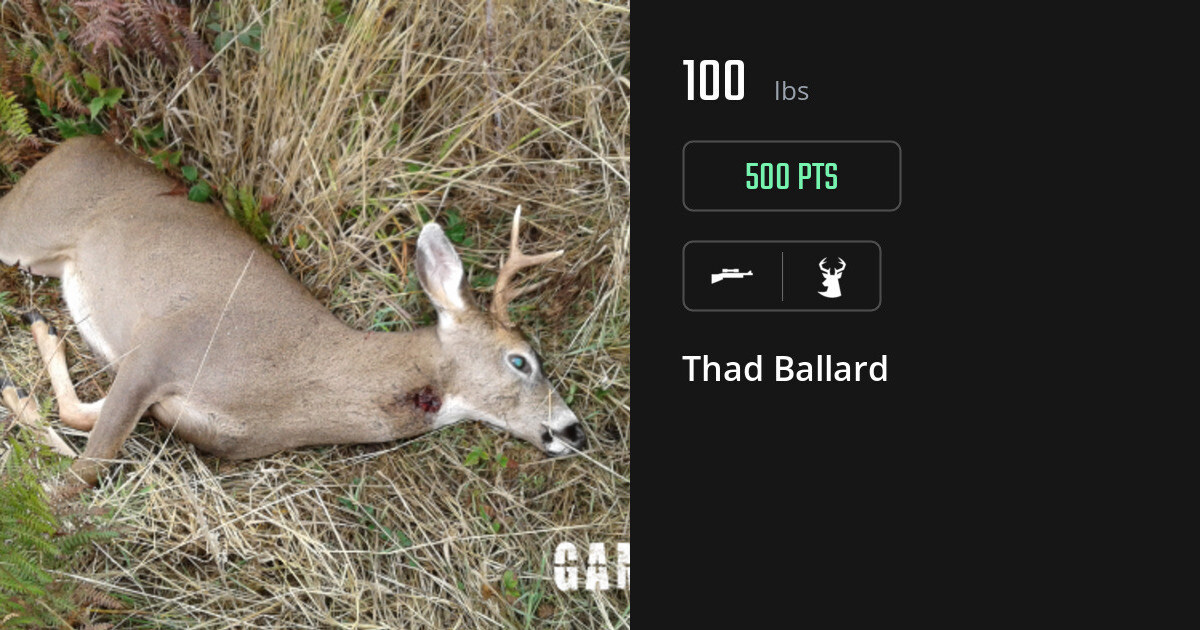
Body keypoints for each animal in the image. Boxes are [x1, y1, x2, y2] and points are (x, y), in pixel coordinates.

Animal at [0, 135, 586, 487]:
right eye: (520, 359)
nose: (574, 429)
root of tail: (75, 143)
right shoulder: (163, 349)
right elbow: (77, 479)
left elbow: (79, 421)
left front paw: (23, 385)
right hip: (23, 228)